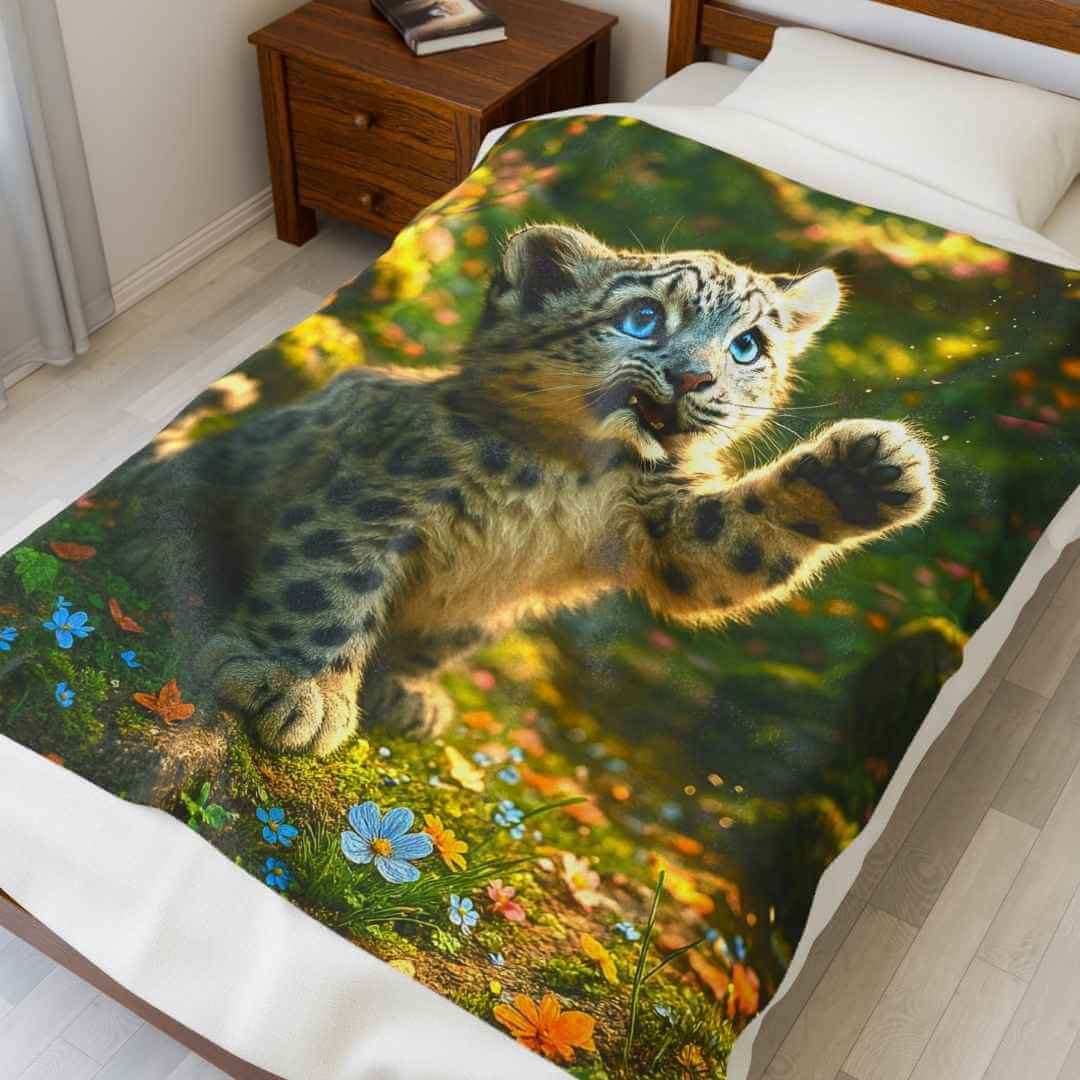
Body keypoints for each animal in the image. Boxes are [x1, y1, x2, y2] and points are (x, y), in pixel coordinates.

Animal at [116, 223, 937, 757]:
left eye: (747, 347)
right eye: (643, 317)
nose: (693, 378)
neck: (573, 478)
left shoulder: (666, 526)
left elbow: (726, 554)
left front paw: (869, 470)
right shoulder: (382, 491)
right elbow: (327, 581)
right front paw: (295, 687)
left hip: (486, 616)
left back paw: (407, 692)